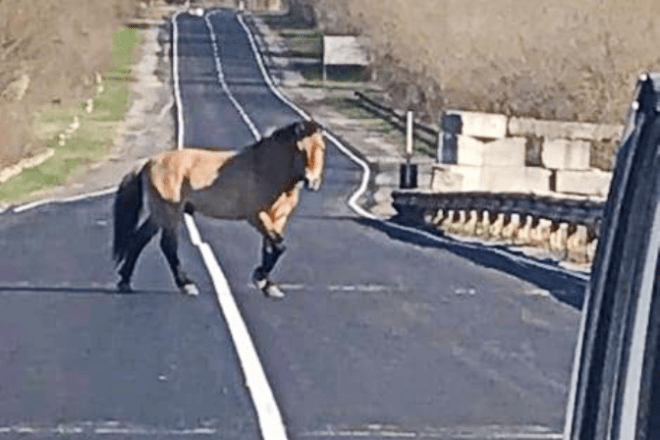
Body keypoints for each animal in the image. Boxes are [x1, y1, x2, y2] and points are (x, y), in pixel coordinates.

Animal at [114, 120, 330, 300]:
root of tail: (149, 162)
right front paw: (259, 278)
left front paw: (268, 286)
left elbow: (270, 248)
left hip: (159, 214)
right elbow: (278, 246)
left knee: (139, 240)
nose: (312, 181)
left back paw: (125, 282)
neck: (266, 169)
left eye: (322, 148)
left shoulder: (278, 218)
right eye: (300, 149)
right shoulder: (256, 216)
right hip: (170, 213)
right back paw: (186, 285)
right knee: (168, 246)